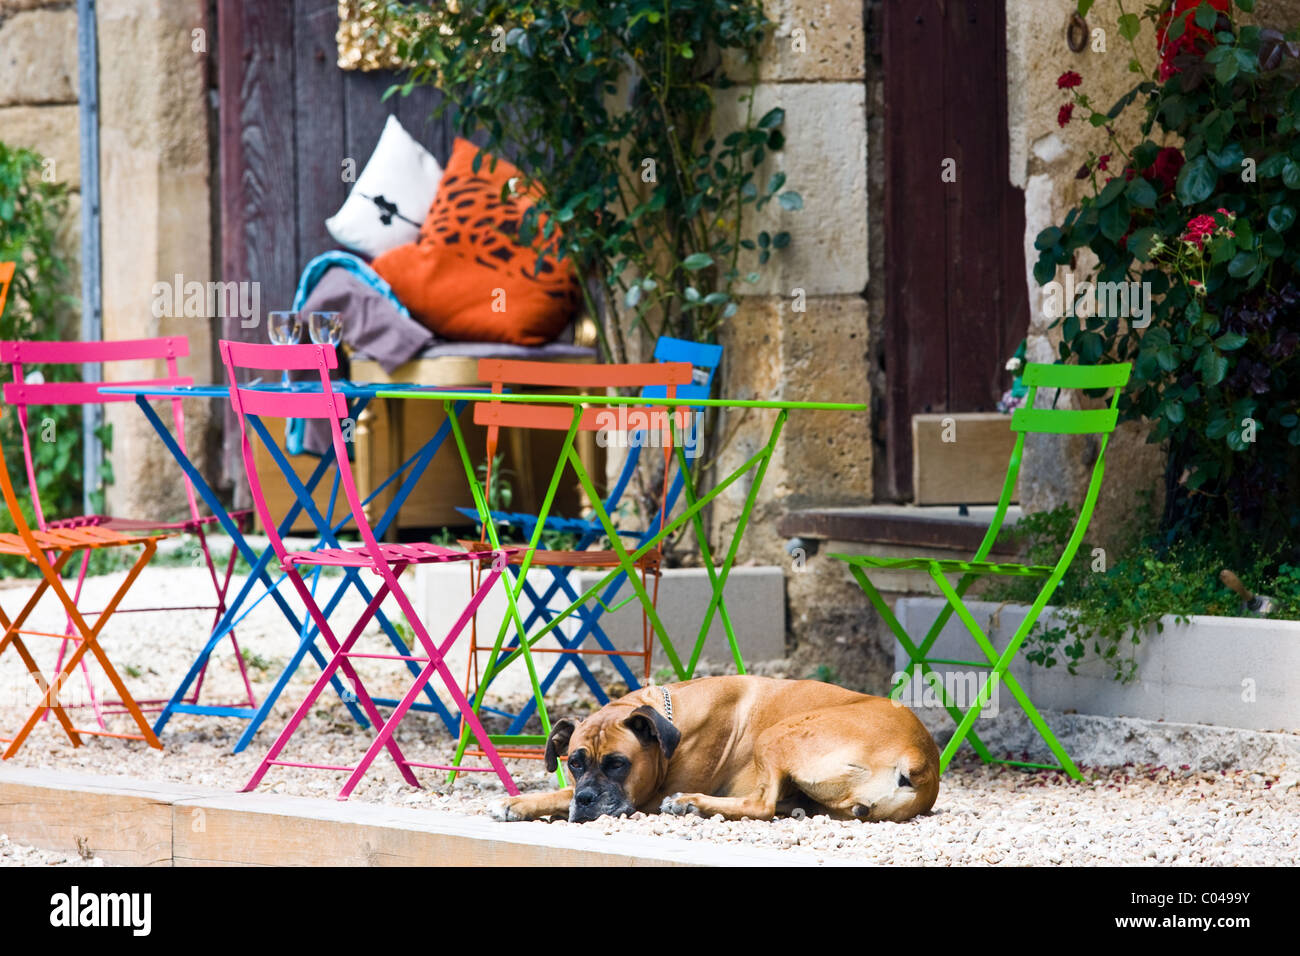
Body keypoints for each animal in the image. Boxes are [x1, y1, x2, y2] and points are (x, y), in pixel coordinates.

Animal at [491, 676, 941, 827]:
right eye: (574, 762)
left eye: (618, 764)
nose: (586, 799)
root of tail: (922, 757)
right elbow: (560, 792)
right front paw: (520, 803)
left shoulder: (646, 796)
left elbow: (563, 794)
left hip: (778, 733)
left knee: (762, 805)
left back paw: (690, 803)